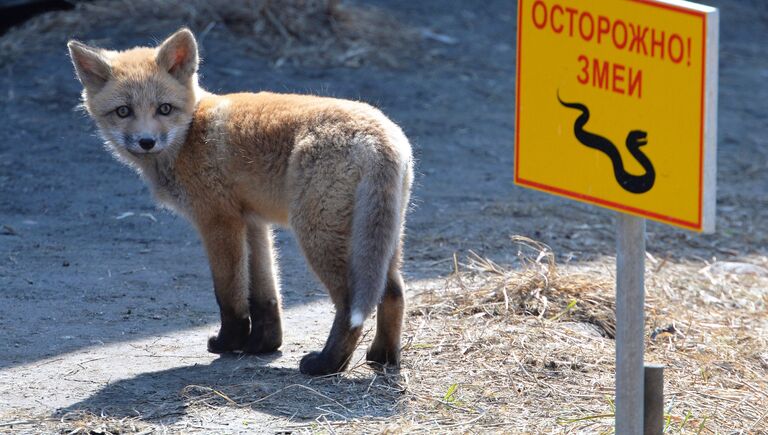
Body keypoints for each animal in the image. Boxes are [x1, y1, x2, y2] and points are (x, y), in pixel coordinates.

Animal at [67, 28, 414, 374]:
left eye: (164, 109)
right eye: (123, 111)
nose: (146, 141)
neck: (189, 133)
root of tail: (377, 135)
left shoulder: (219, 221)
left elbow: (229, 294)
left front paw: (229, 342)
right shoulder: (253, 221)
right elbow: (265, 294)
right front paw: (263, 345)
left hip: (319, 236)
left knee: (349, 303)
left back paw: (328, 363)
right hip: (381, 240)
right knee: (393, 293)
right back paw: (383, 356)